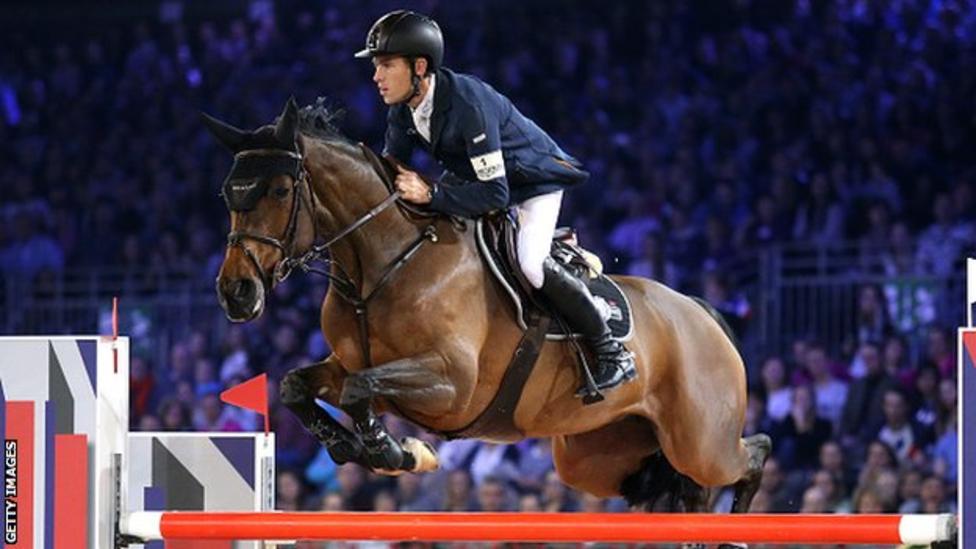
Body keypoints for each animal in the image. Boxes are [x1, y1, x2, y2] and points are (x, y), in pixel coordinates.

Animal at [204, 98, 771, 519]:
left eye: (280, 190)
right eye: (227, 193)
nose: (236, 292)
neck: (385, 262)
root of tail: (699, 311)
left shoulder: (451, 385)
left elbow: (358, 390)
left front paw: (398, 453)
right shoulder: (359, 368)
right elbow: (299, 386)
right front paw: (368, 449)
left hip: (700, 440)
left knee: (751, 454)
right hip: (598, 456)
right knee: (677, 489)